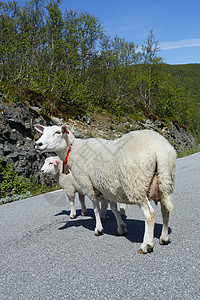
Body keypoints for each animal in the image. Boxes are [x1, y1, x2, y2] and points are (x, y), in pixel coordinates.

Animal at [35, 124, 176, 253]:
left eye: (57, 132)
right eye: (43, 132)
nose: (38, 144)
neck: (72, 150)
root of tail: (159, 148)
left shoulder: (88, 185)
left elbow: (96, 208)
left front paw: (98, 229)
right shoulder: (108, 188)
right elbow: (113, 208)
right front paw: (121, 227)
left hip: (135, 184)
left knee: (150, 214)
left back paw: (146, 245)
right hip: (165, 181)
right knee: (165, 210)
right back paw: (164, 238)